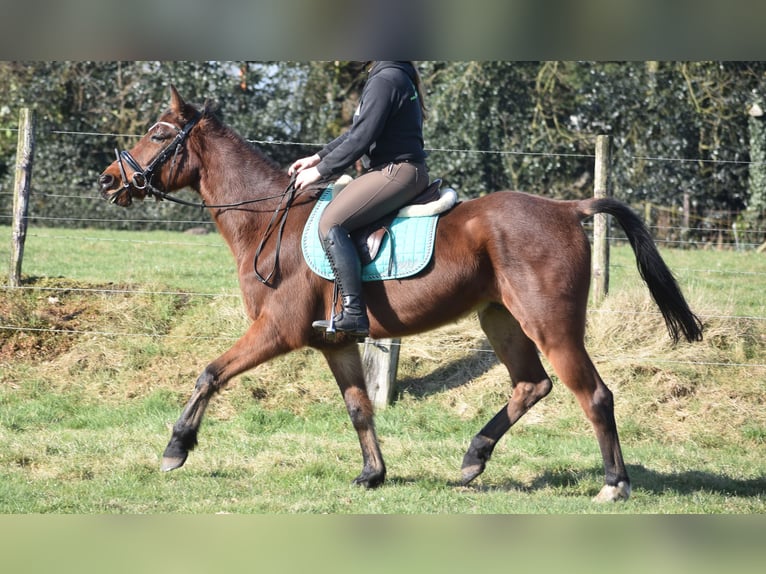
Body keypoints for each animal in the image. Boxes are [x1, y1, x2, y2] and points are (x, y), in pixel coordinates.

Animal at [99, 86, 704, 504]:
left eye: (158, 133)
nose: (108, 180)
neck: (270, 219)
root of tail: (566, 208)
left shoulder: (276, 331)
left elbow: (209, 374)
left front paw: (176, 448)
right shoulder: (336, 344)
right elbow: (359, 408)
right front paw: (373, 473)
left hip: (551, 326)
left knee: (593, 394)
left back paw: (614, 484)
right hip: (500, 321)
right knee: (532, 385)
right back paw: (473, 458)